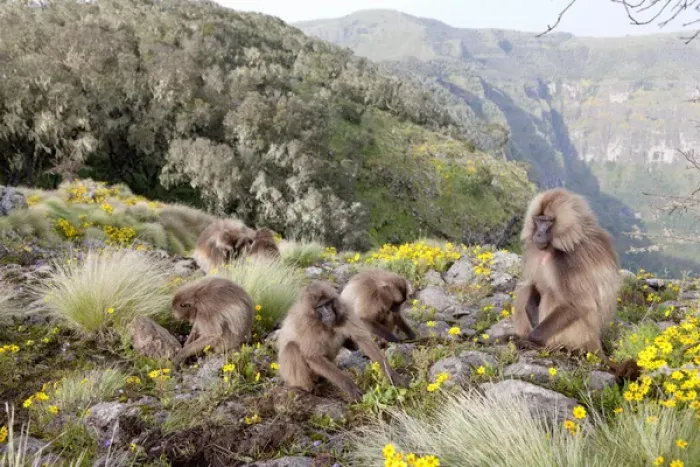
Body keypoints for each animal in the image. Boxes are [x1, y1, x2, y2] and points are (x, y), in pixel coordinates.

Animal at [277, 281, 405, 402]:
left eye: (328, 303)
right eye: (321, 306)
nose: (329, 313)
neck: (319, 321)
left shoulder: (344, 311)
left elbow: (363, 339)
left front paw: (391, 375)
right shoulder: (306, 324)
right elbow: (313, 356)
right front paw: (349, 386)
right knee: (291, 347)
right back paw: (307, 388)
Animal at [512, 188, 640, 382]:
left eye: (548, 221)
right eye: (538, 220)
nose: (538, 234)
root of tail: (595, 342)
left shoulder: (569, 260)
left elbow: (579, 304)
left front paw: (532, 338)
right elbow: (534, 284)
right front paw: (530, 310)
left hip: (577, 334)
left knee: (552, 295)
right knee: (525, 289)